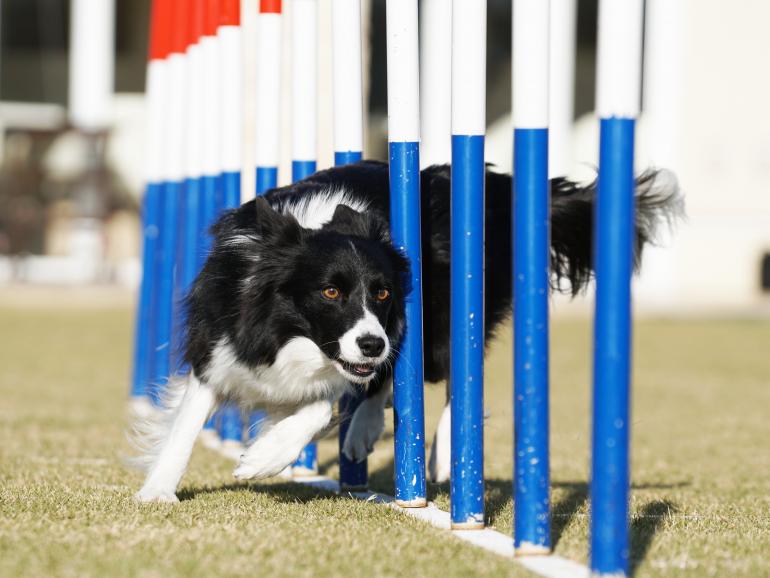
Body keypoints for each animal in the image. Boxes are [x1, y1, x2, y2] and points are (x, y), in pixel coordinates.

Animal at [130, 159, 680, 500]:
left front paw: (262, 458)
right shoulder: (218, 349)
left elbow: (322, 405)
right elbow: (185, 426)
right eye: (329, 293)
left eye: (382, 293)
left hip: (441, 320)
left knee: (452, 370)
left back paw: (439, 449)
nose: (371, 342)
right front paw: (158, 490)